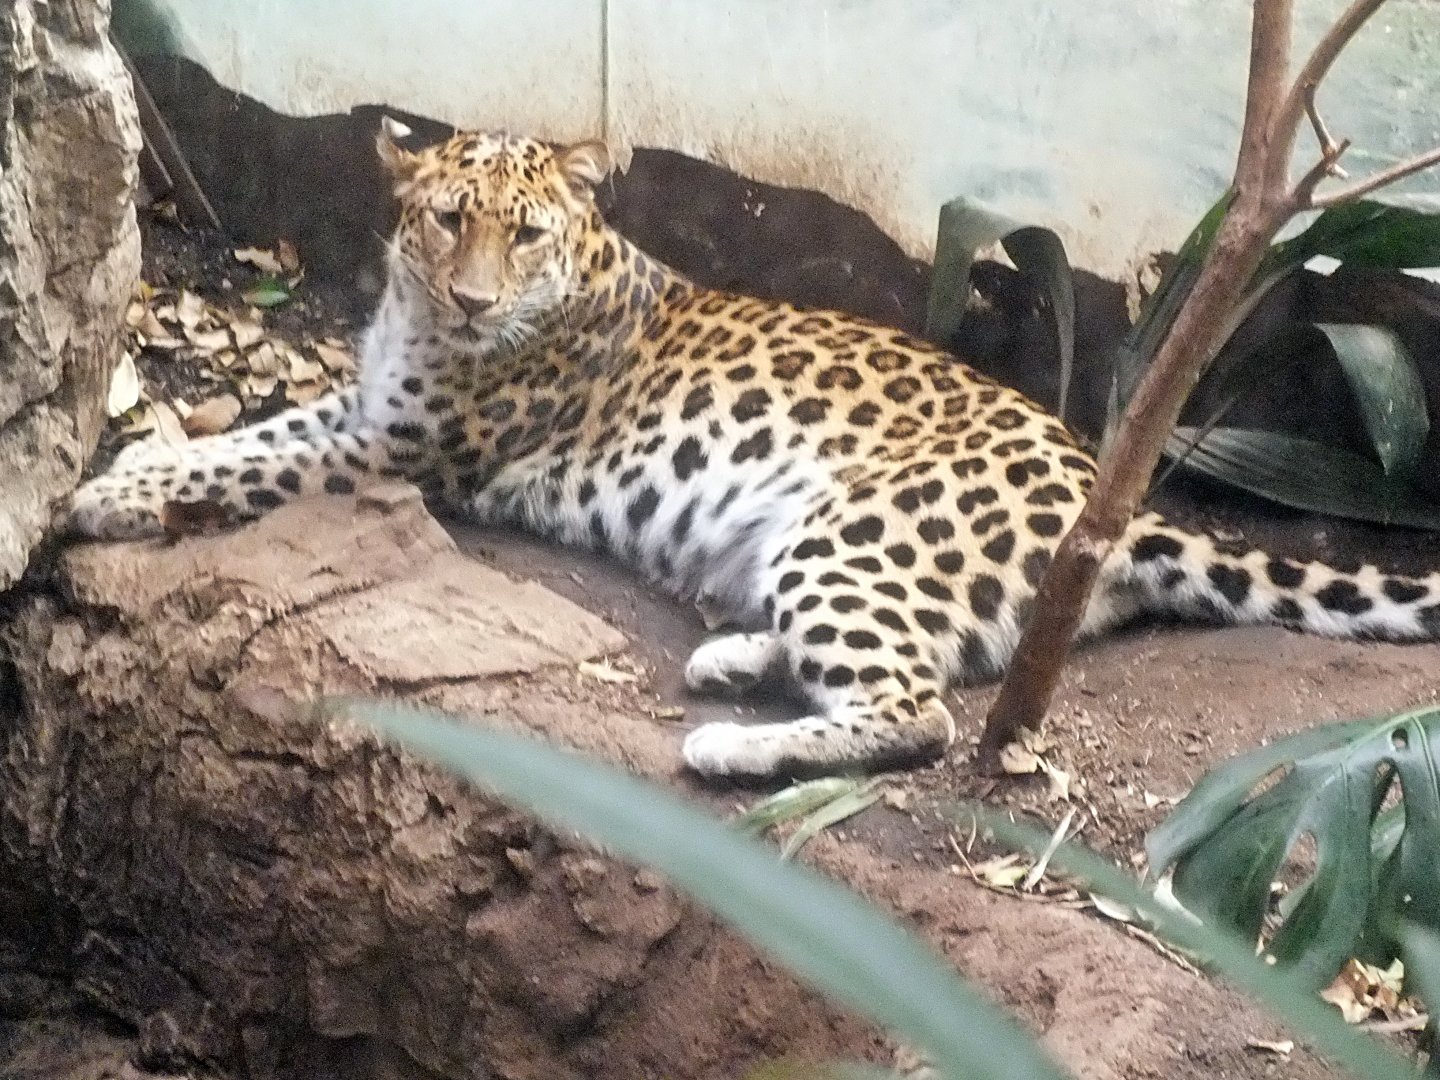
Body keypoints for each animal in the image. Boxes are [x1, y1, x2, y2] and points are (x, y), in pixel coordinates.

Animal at [61, 117, 1440, 779]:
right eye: (446, 221)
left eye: (523, 235)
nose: (472, 299)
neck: (419, 318)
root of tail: (1120, 500)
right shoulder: (370, 411)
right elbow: (264, 425)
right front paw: (129, 465)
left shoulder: (409, 453)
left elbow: (257, 460)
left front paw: (110, 497)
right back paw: (733, 658)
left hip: (856, 532)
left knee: (918, 713)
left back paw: (728, 744)